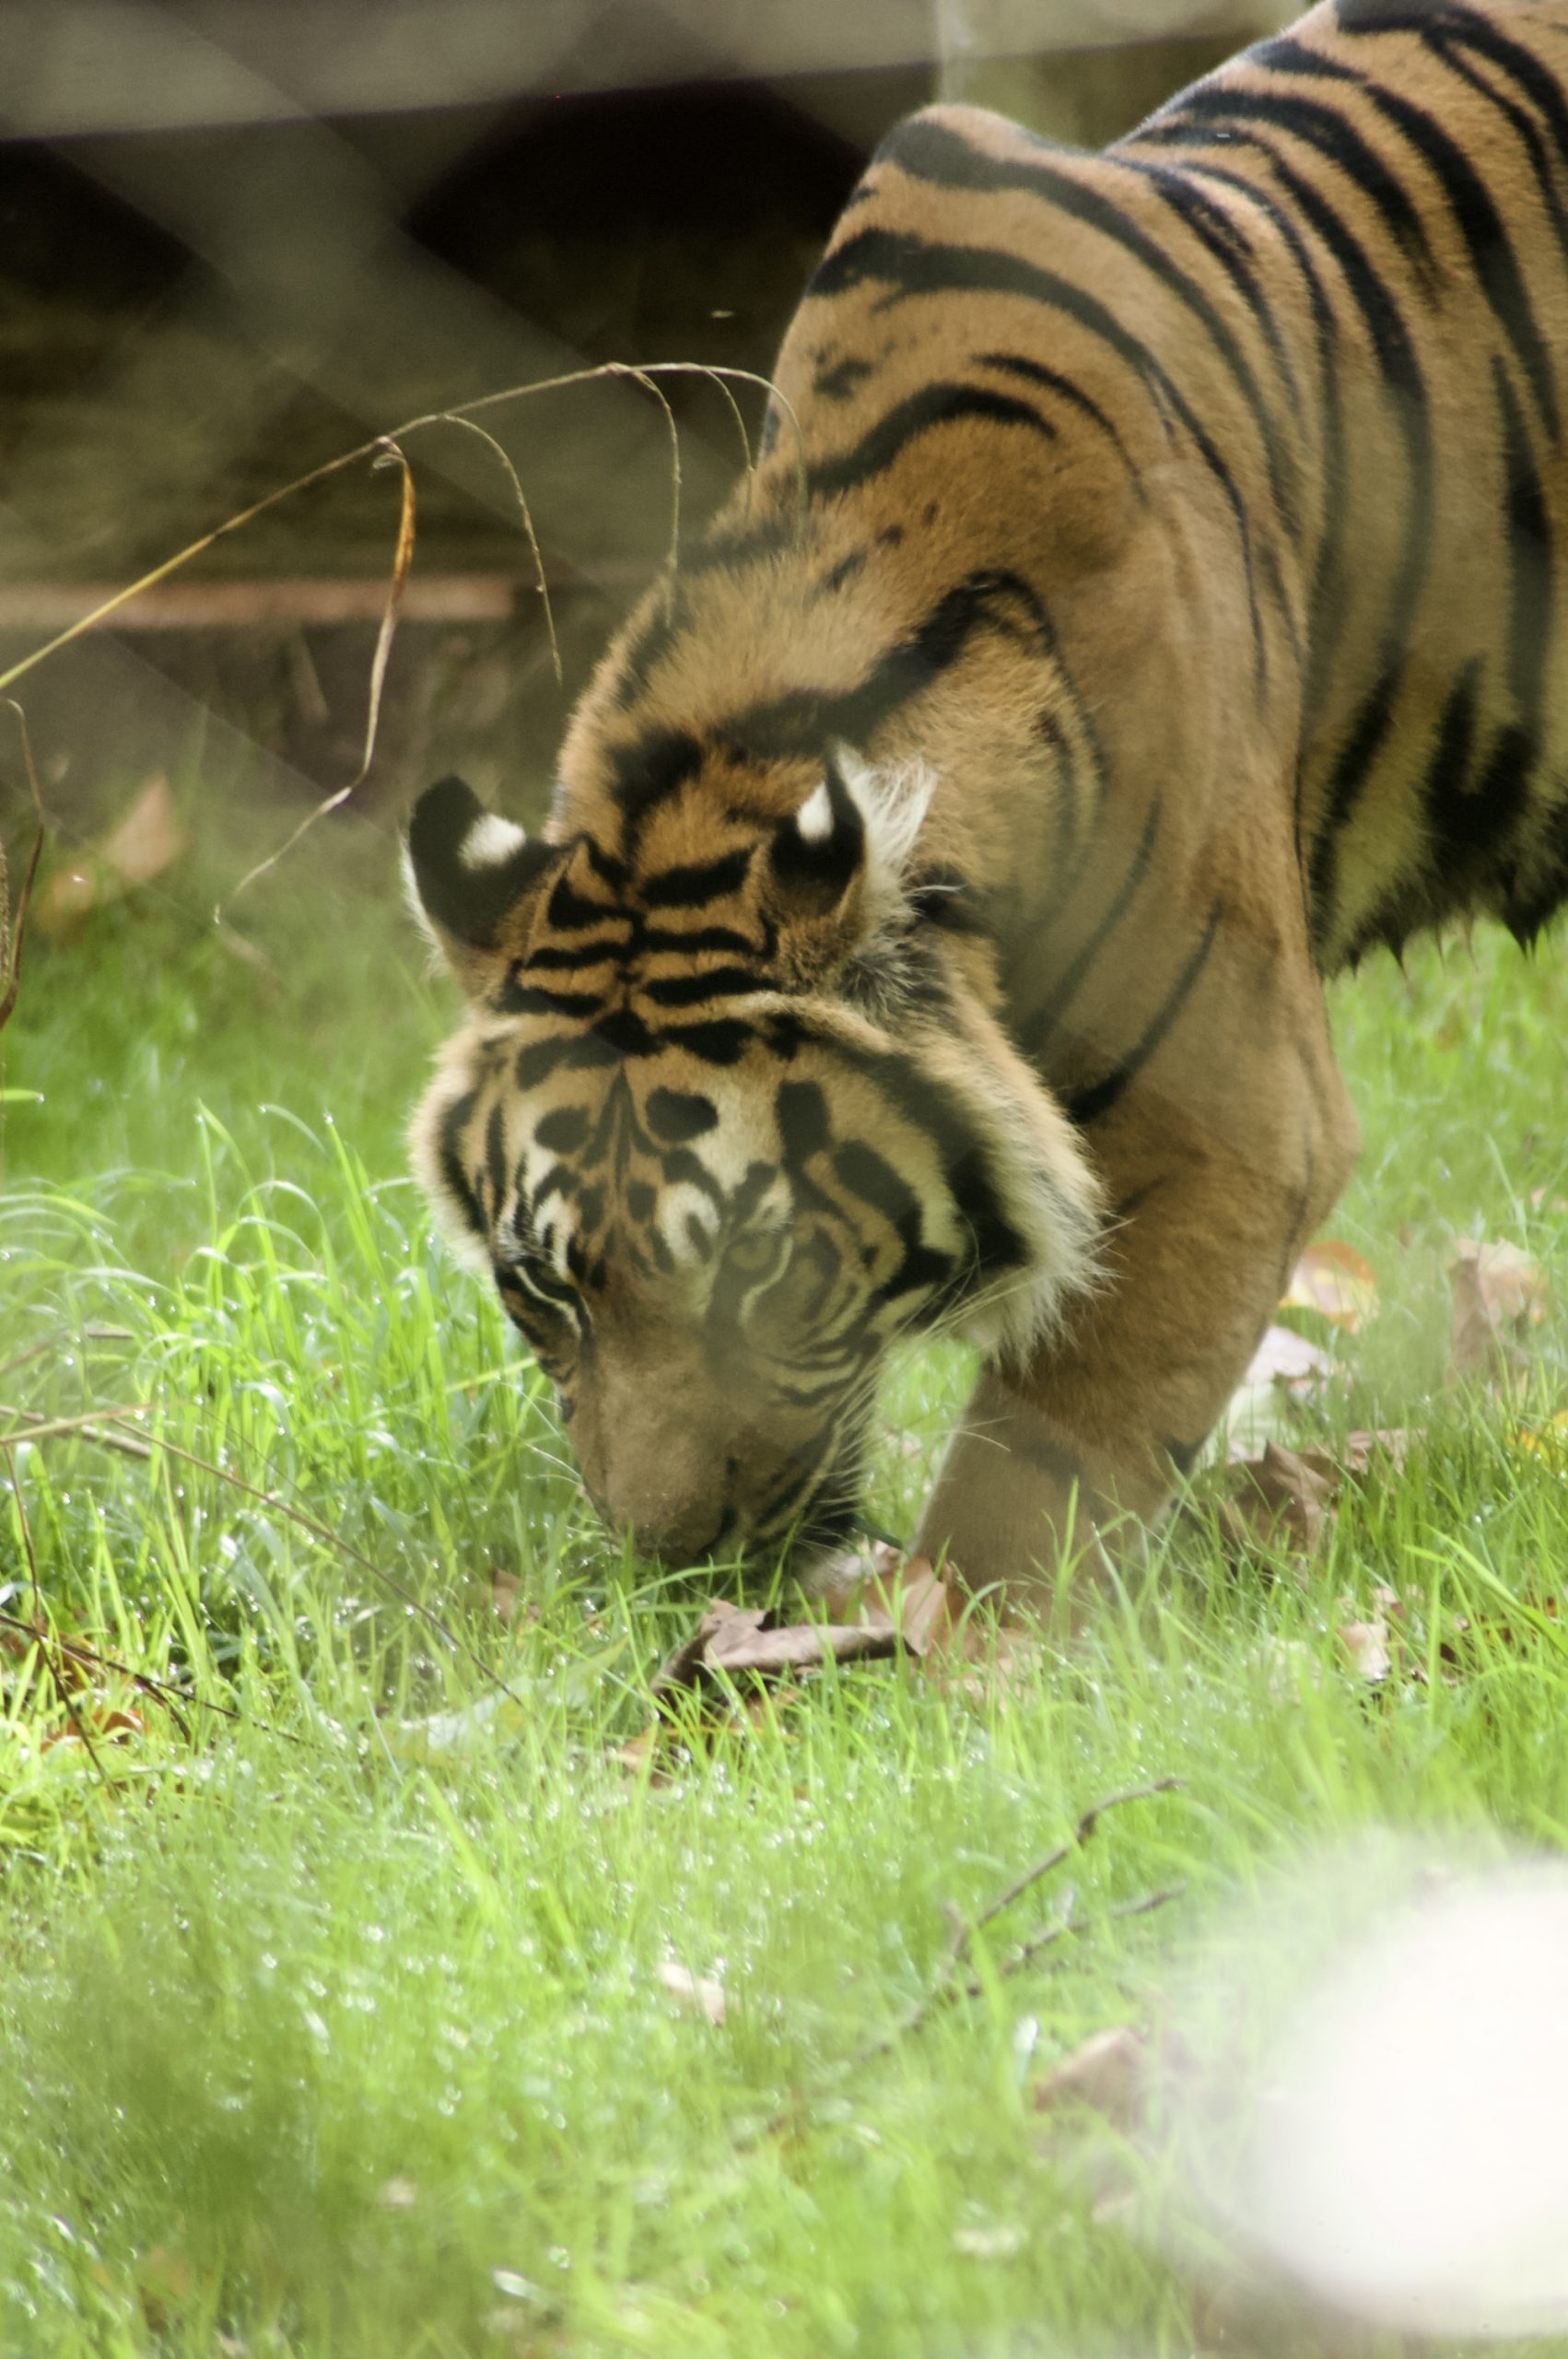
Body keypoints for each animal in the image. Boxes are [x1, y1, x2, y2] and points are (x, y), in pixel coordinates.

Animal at [407, 0, 1568, 1597]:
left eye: (761, 1271)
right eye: (542, 1287)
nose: (684, 1574)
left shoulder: (1231, 1117)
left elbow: (1040, 1459)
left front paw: (953, 1638)